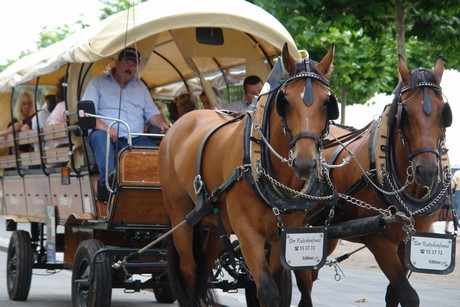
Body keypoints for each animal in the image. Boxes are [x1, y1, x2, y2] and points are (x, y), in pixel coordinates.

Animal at [159, 44, 338, 307]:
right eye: (285, 100)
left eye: (327, 102)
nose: (305, 163)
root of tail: (180, 123)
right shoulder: (247, 231)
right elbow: (267, 290)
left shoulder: (285, 233)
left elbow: (277, 284)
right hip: (180, 215)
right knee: (189, 271)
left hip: (217, 223)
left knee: (203, 268)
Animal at [308, 56, 452, 307]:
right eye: (406, 113)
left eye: (444, 112)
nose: (427, 171)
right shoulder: (378, 239)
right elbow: (408, 294)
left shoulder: (407, 242)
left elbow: (394, 294)